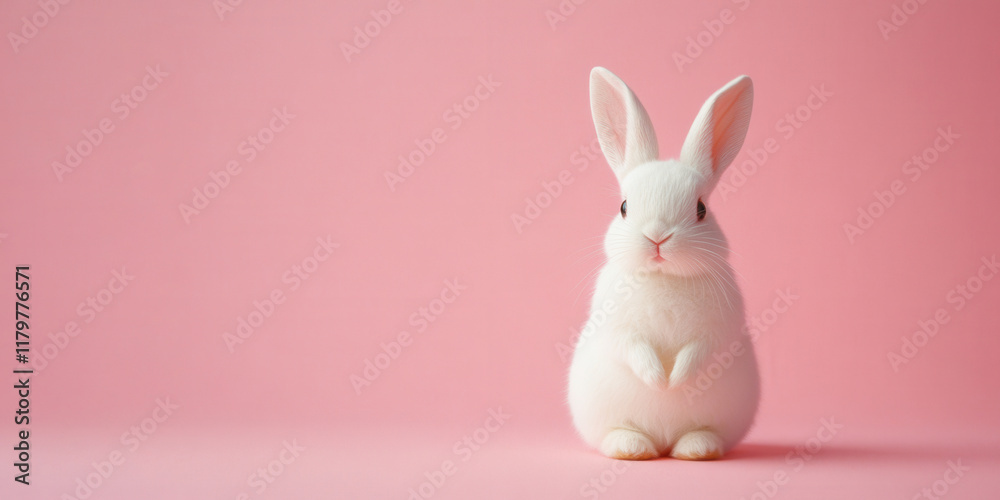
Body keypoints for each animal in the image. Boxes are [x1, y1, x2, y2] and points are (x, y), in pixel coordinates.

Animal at [567, 67, 759, 461]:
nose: (657, 237)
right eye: (624, 207)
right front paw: (659, 380)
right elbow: (633, 348)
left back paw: (697, 448)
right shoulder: (617, 327)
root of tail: (663, 442)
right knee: (621, 434)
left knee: (698, 435)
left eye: (701, 209)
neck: (663, 276)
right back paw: (632, 448)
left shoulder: (719, 330)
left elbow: (700, 351)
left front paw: (676, 379)